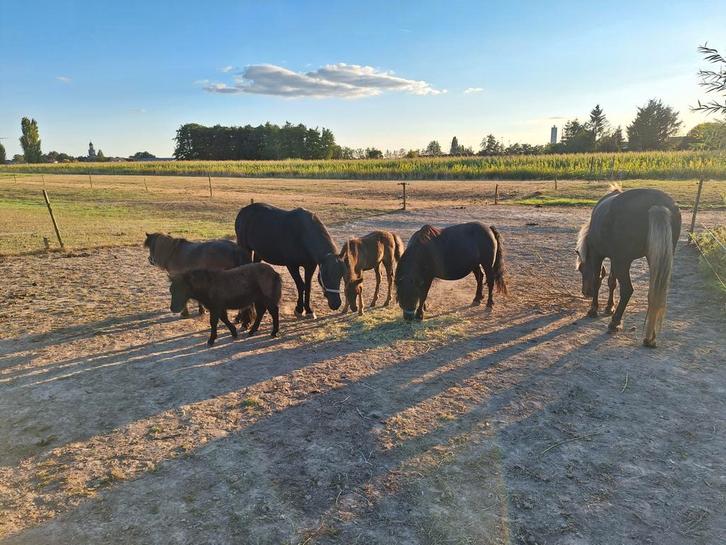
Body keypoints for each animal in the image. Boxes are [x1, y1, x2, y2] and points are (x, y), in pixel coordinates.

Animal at [576, 186, 681, 347]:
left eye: (581, 269)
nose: (585, 292)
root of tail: (657, 204)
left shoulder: (599, 256)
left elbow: (597, 280)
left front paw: (593, 310)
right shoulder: (614, 258)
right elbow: (611, 282)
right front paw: (609, 307)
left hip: (623, 262)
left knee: (627, 290)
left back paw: (615, 323)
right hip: (655, 259)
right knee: (656, 292)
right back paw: (650, 338)